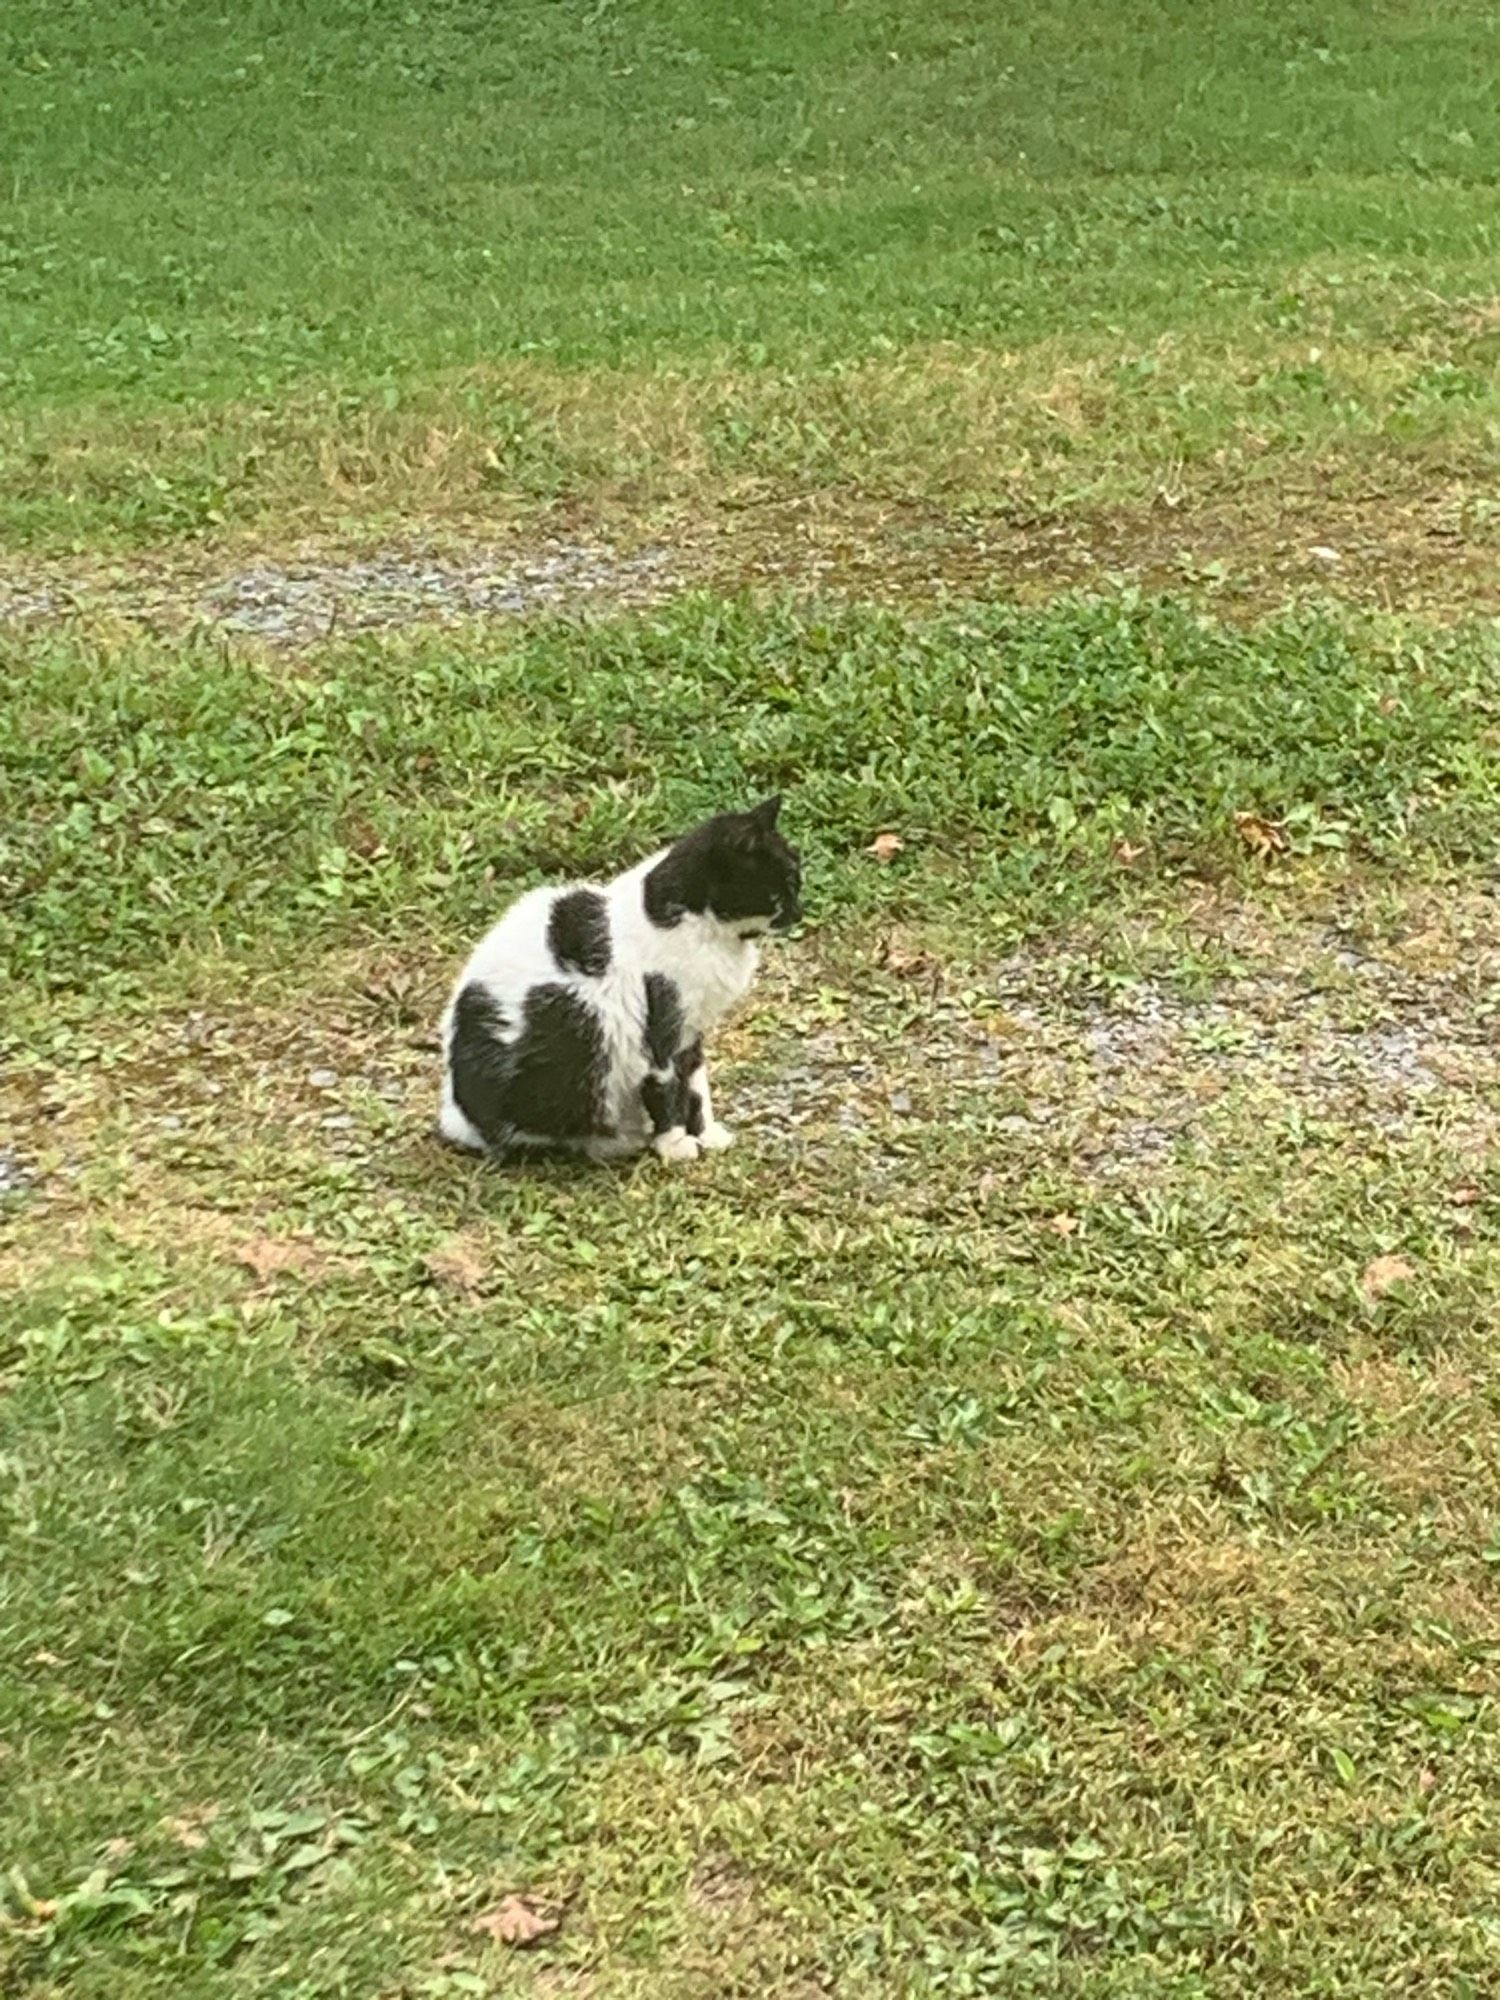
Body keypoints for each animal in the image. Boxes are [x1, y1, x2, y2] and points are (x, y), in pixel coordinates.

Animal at [440, 796, 804, 1168]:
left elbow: (696, 1085)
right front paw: (674, 1145)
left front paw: (707, 1134)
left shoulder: (690, 1031)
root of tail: (458, 1115)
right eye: (789, 881)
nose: (799, 911)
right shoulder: (661, 1029)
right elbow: (666, 1088)